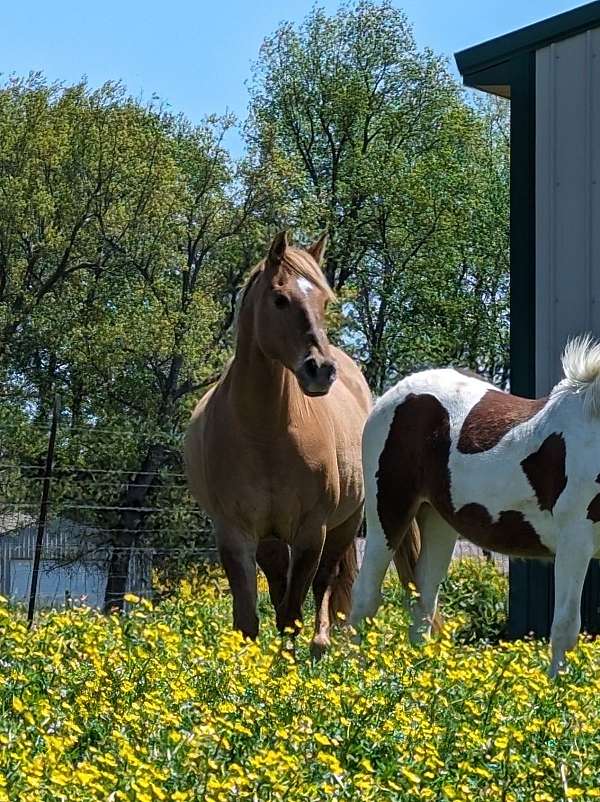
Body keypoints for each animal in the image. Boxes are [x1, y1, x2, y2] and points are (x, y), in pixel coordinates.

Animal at [184, 228, 370, 652]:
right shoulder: (235, 533)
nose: (321, 370)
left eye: (324, 301)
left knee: (325, 583)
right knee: (279, 584)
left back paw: (321, 644)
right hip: (271, 538)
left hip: (345, 524)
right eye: (280, 299)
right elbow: (248, 619)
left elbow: (291, 614)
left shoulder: (311, 532)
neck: (264, 433)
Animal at [352, 338, 600, 676]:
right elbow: (565, 627)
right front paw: (555, 689)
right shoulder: (575, 542)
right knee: (365, 597)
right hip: (387, 512)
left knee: (423, 600)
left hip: (438, 521)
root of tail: (395, 395)